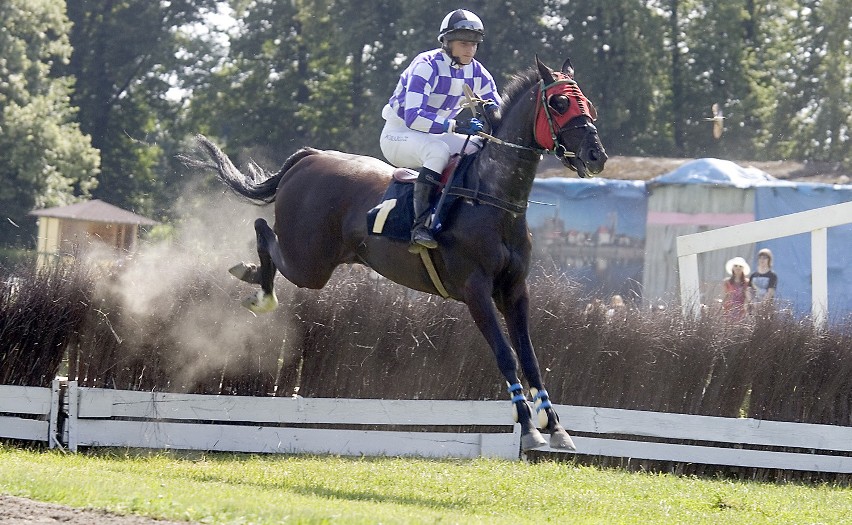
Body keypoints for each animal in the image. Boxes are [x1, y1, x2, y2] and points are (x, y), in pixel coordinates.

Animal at [190, 57, 608, 450]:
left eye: (588, 104)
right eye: (558, 103)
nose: (596, 156)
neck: (491, 199)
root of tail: (310, 157)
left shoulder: (515, 291)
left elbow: (531, 358)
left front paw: (556, 429)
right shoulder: (475, 291)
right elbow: (506, 355)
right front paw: (530, 429)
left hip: (315, 262)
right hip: (309, 263)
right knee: (264, 232)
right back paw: (258, 288)